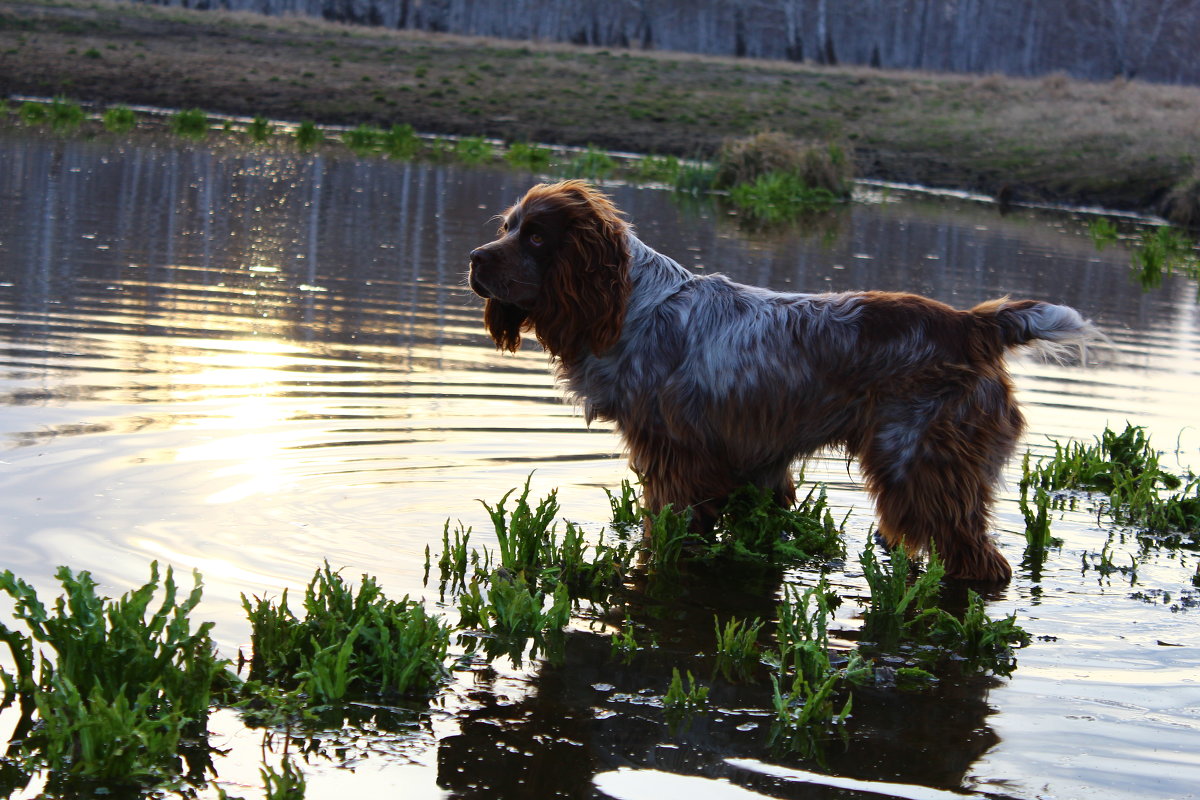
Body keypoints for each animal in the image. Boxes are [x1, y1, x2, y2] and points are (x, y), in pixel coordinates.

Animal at [470, 181, 1099, 582]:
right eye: (507, 227)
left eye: (536, 237)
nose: (475, 257)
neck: (629, 304)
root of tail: (975, 325)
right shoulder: (758, 467)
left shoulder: (676, 462)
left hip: (920, 469)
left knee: (983, 564)